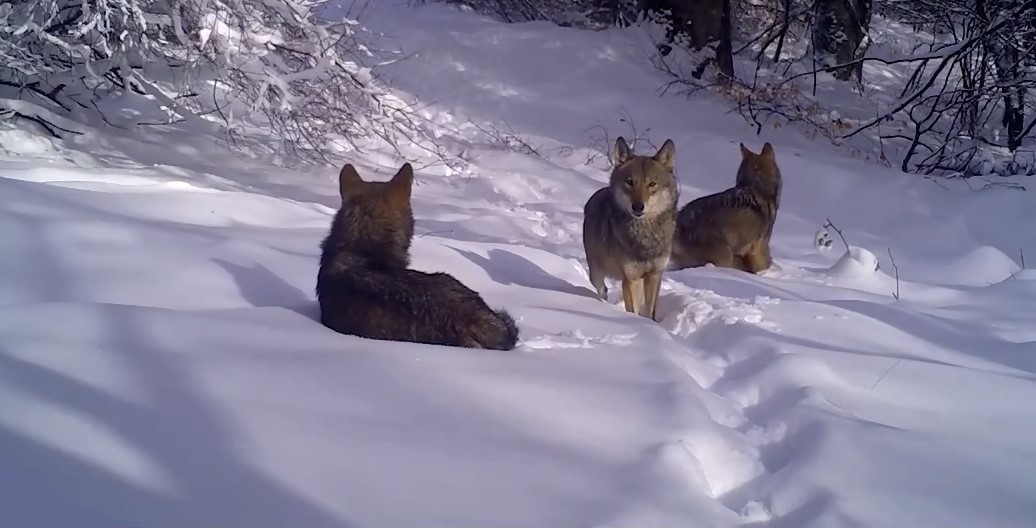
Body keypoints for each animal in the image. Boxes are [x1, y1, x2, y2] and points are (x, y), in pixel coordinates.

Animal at [584, 134, 679, 320]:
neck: (646, 237)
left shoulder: (654, 275)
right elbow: (632, 310)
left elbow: (649, 312)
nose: (638, 207)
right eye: (630, 182)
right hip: (596, 273)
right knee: (602, 289)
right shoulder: (630, 278)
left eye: (652, 184)